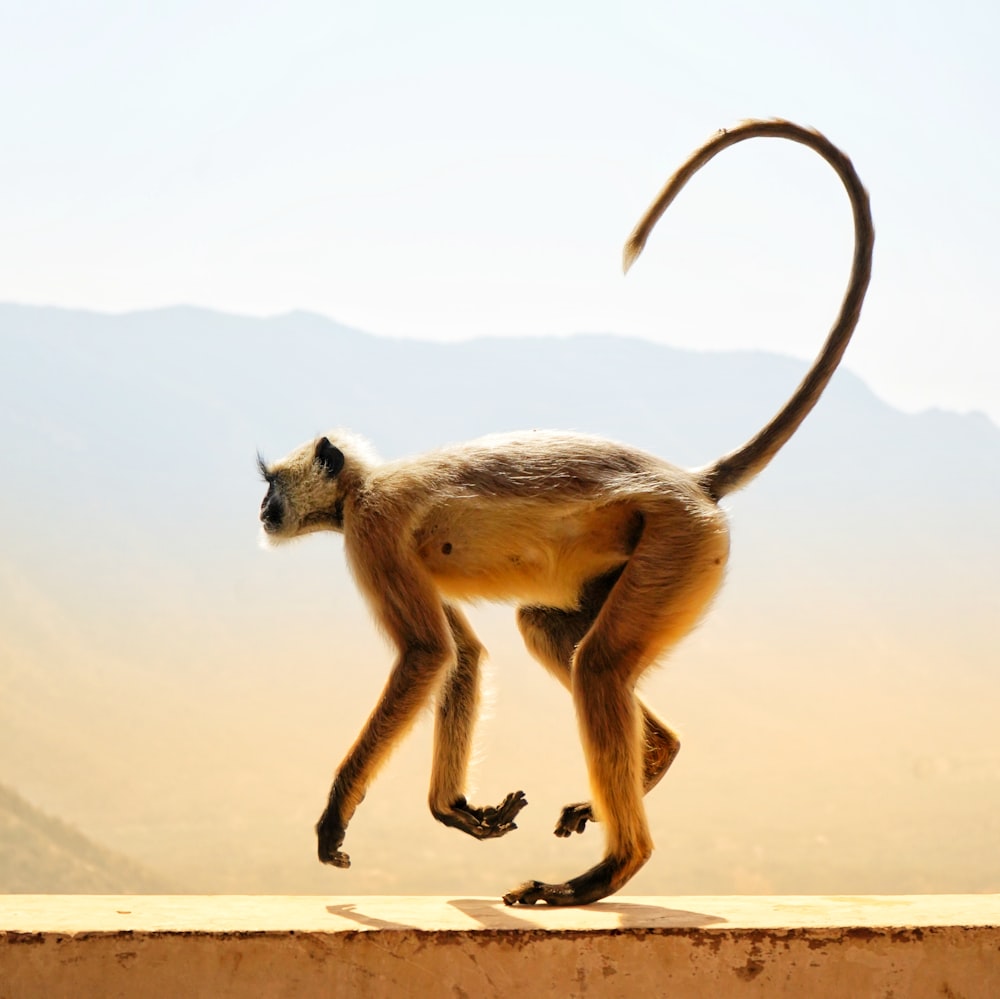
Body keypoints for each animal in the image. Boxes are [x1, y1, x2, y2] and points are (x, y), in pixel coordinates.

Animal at [260, 117, 876, 908]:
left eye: (272, 486)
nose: (263, 509)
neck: (363, 485)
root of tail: (693, 483)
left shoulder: (372, 531)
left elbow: (427, 654)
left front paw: (337, 811)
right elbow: (462, 656)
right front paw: (454, 808)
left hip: (679, 544)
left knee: (600, 667)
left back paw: (609, 869)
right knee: (549, 629)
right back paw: (652, 760)